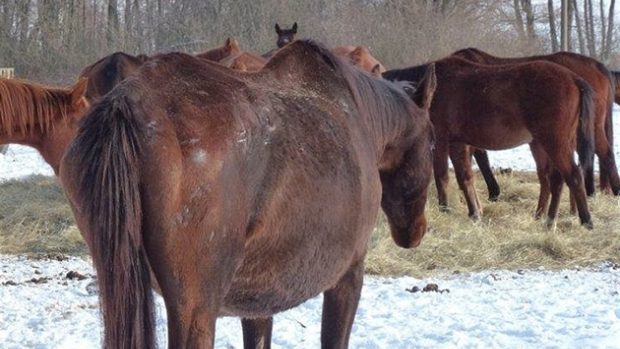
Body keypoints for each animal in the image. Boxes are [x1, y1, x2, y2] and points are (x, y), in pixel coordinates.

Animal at [59, 40, 436, 346]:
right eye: (433, 144)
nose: (415, 232)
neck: (360, 118)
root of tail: (126, 106)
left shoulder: (257, 301)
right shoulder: (349, 274)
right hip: (195, 309)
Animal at [382, 55, 596, 227]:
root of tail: (573, 78)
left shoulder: (441, 140)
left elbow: (442, 176)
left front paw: (445, 209)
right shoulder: (459, 143)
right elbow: (465, 177)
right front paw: (474, 213)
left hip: (554, 142)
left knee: (572, 176)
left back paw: (581, 220)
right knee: (555, 180)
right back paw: (546, 218)